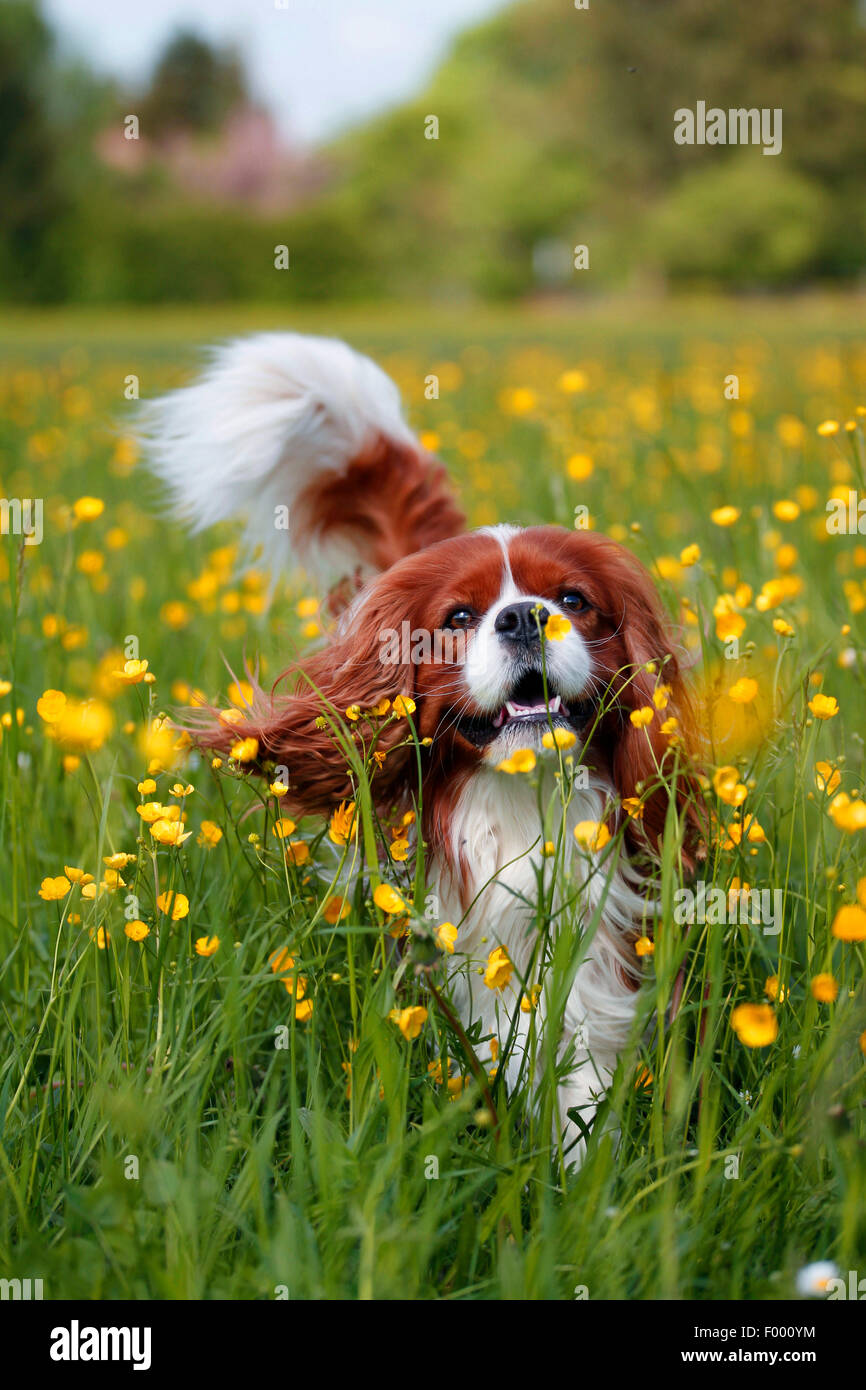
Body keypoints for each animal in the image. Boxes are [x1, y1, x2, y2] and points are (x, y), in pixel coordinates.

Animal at [142, 330, 697, 1156]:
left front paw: (578, 1163)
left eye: (573, 600)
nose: (523, 617)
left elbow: (581, 1075)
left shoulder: (599, 945)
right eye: (460, 617)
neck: (522, 798)